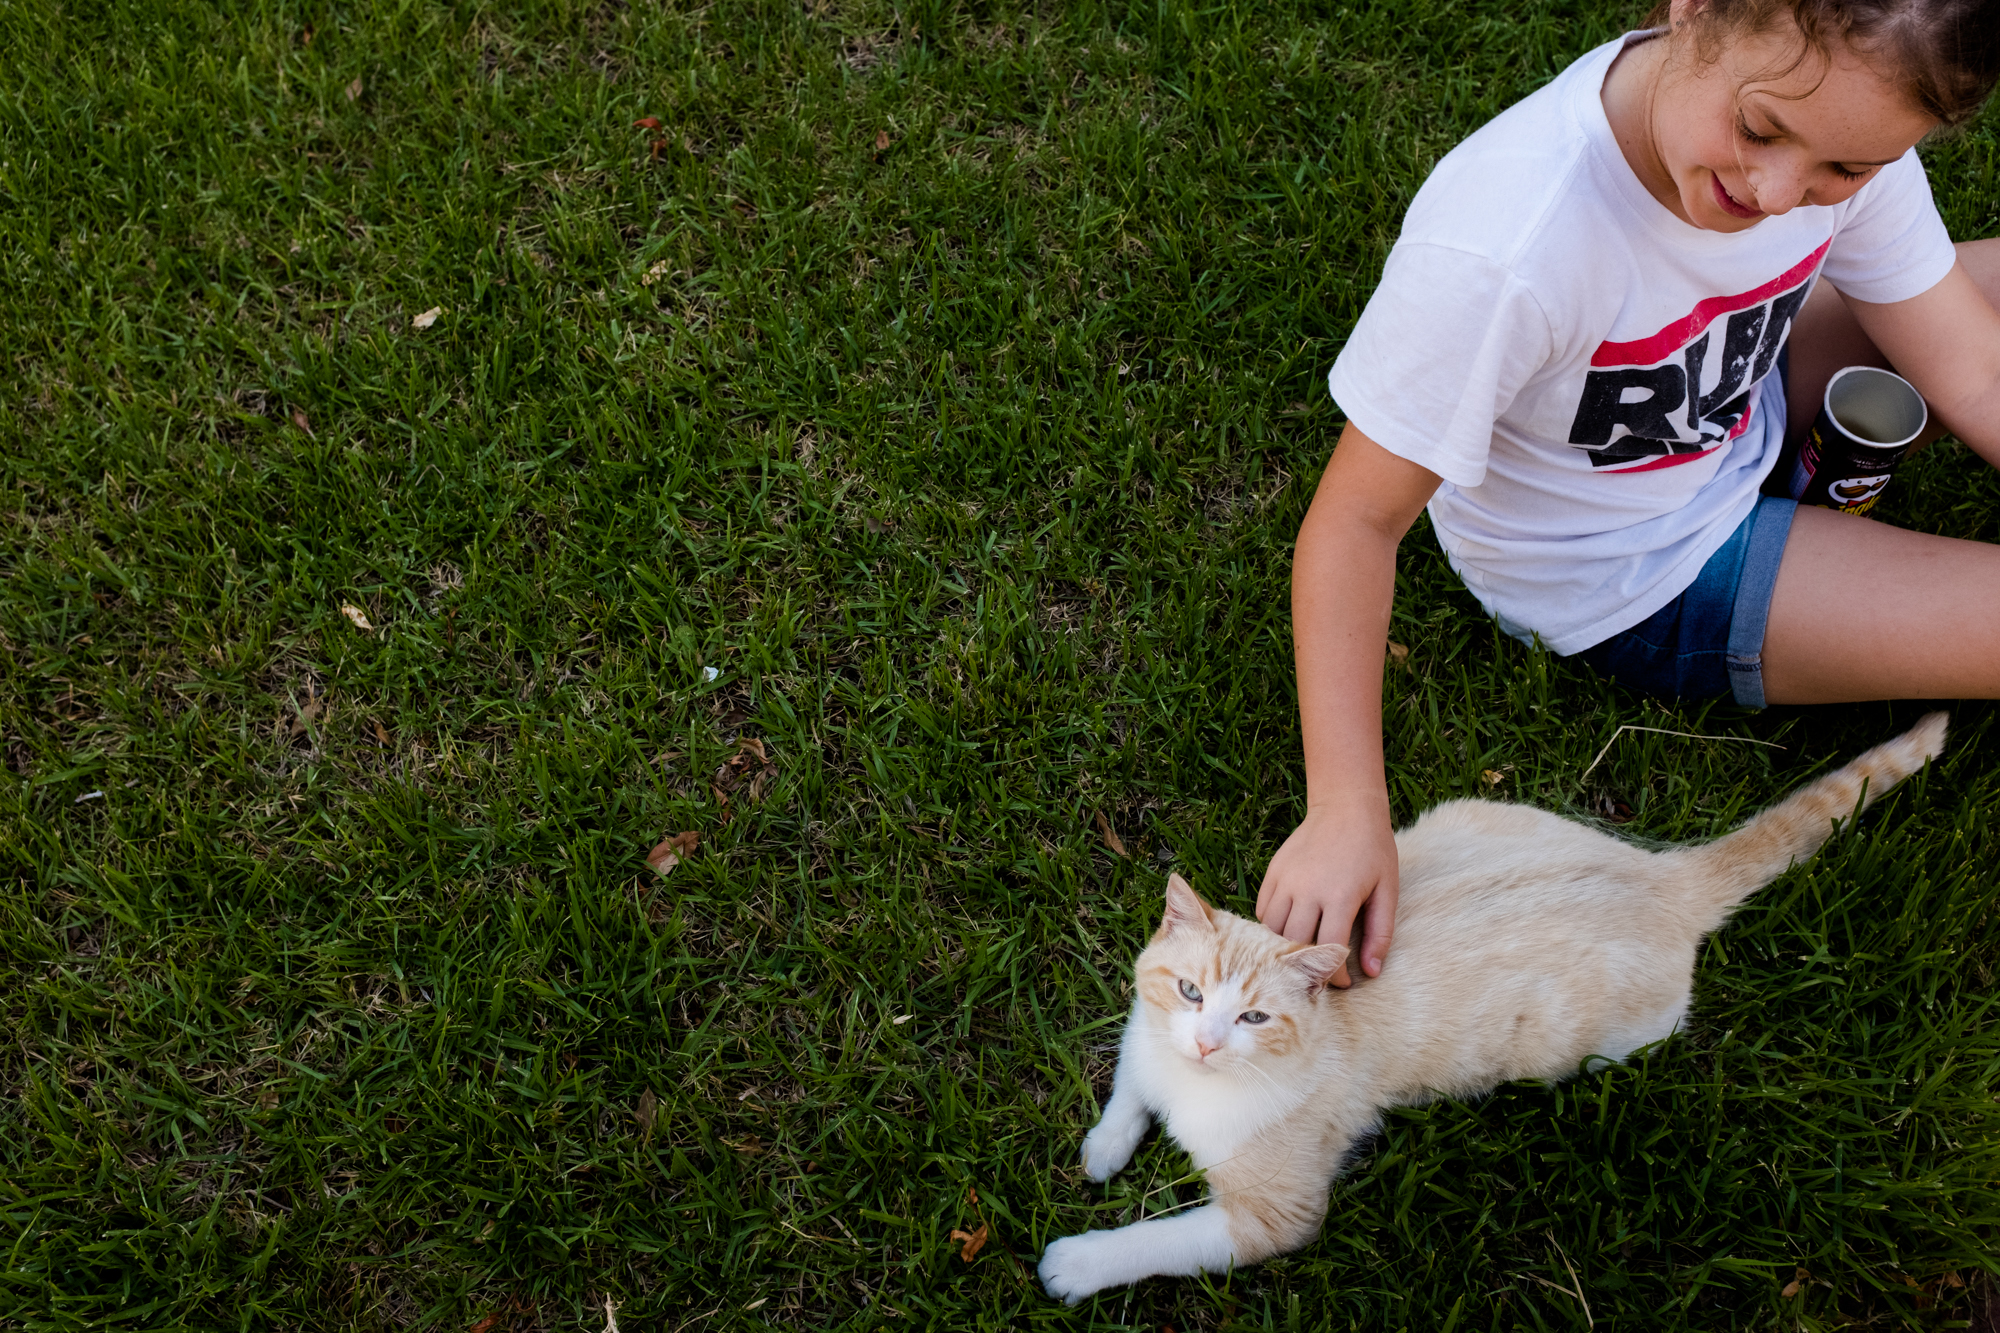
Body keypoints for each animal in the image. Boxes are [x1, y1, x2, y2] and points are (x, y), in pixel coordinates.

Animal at [1040, 712, 1944, 1304]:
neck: (1193, 1084)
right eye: (1192, 991)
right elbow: (1129, 1087)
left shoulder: (1273, 1216)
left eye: (1256, 1020)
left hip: (1602, 1048)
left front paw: (1075, 1263)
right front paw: (1103, 1150)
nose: (1204, 1041)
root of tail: (1662, 877)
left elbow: (1157, 1238)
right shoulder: (1147, 1034)